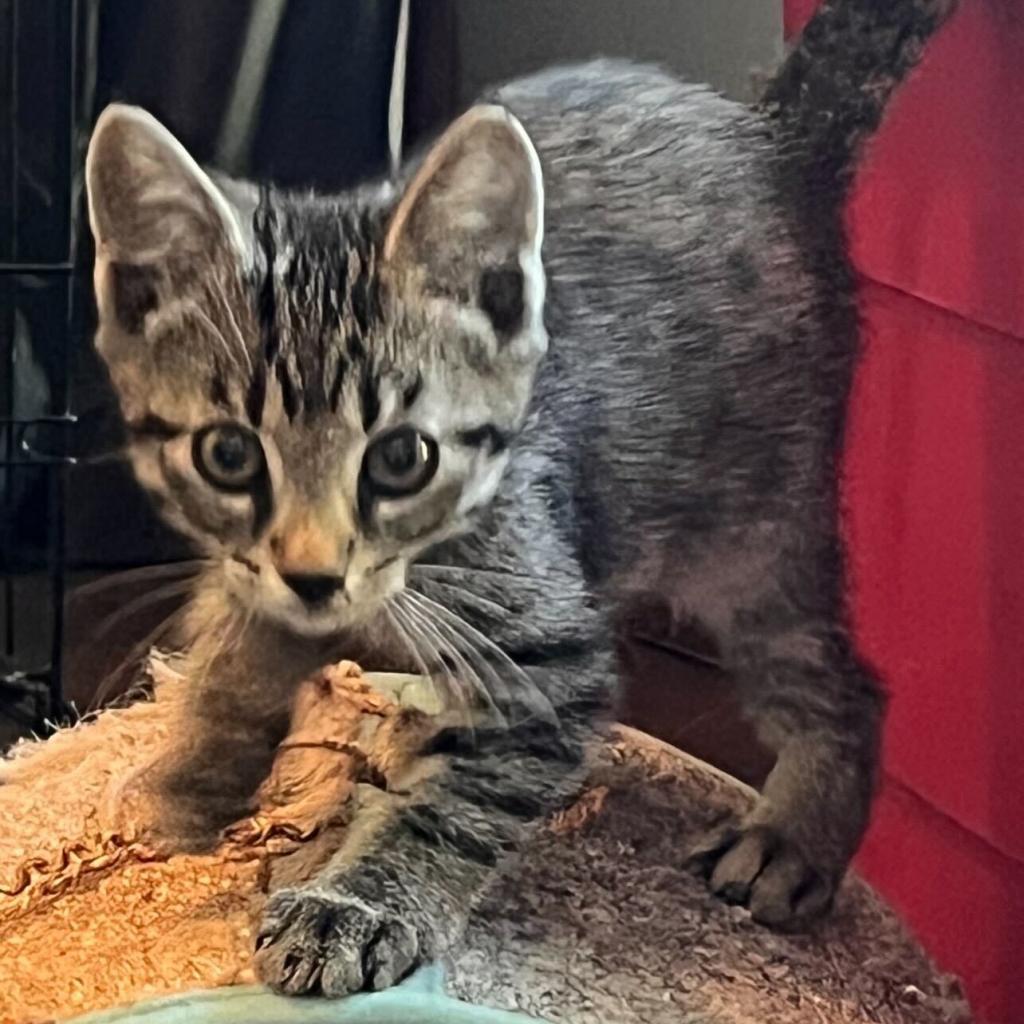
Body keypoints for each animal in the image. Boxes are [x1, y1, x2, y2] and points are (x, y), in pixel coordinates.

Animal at [83, 0, 954, 999]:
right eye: (228, 454)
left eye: (401, 458)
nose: (314, 575)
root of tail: (770, 135)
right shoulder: (252, 575)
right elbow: (233, 646)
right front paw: (193, 774)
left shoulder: (550, 647)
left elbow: (462, 801)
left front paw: (359, 903)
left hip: (755, 526)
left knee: (838, 681)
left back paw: (794, 839)